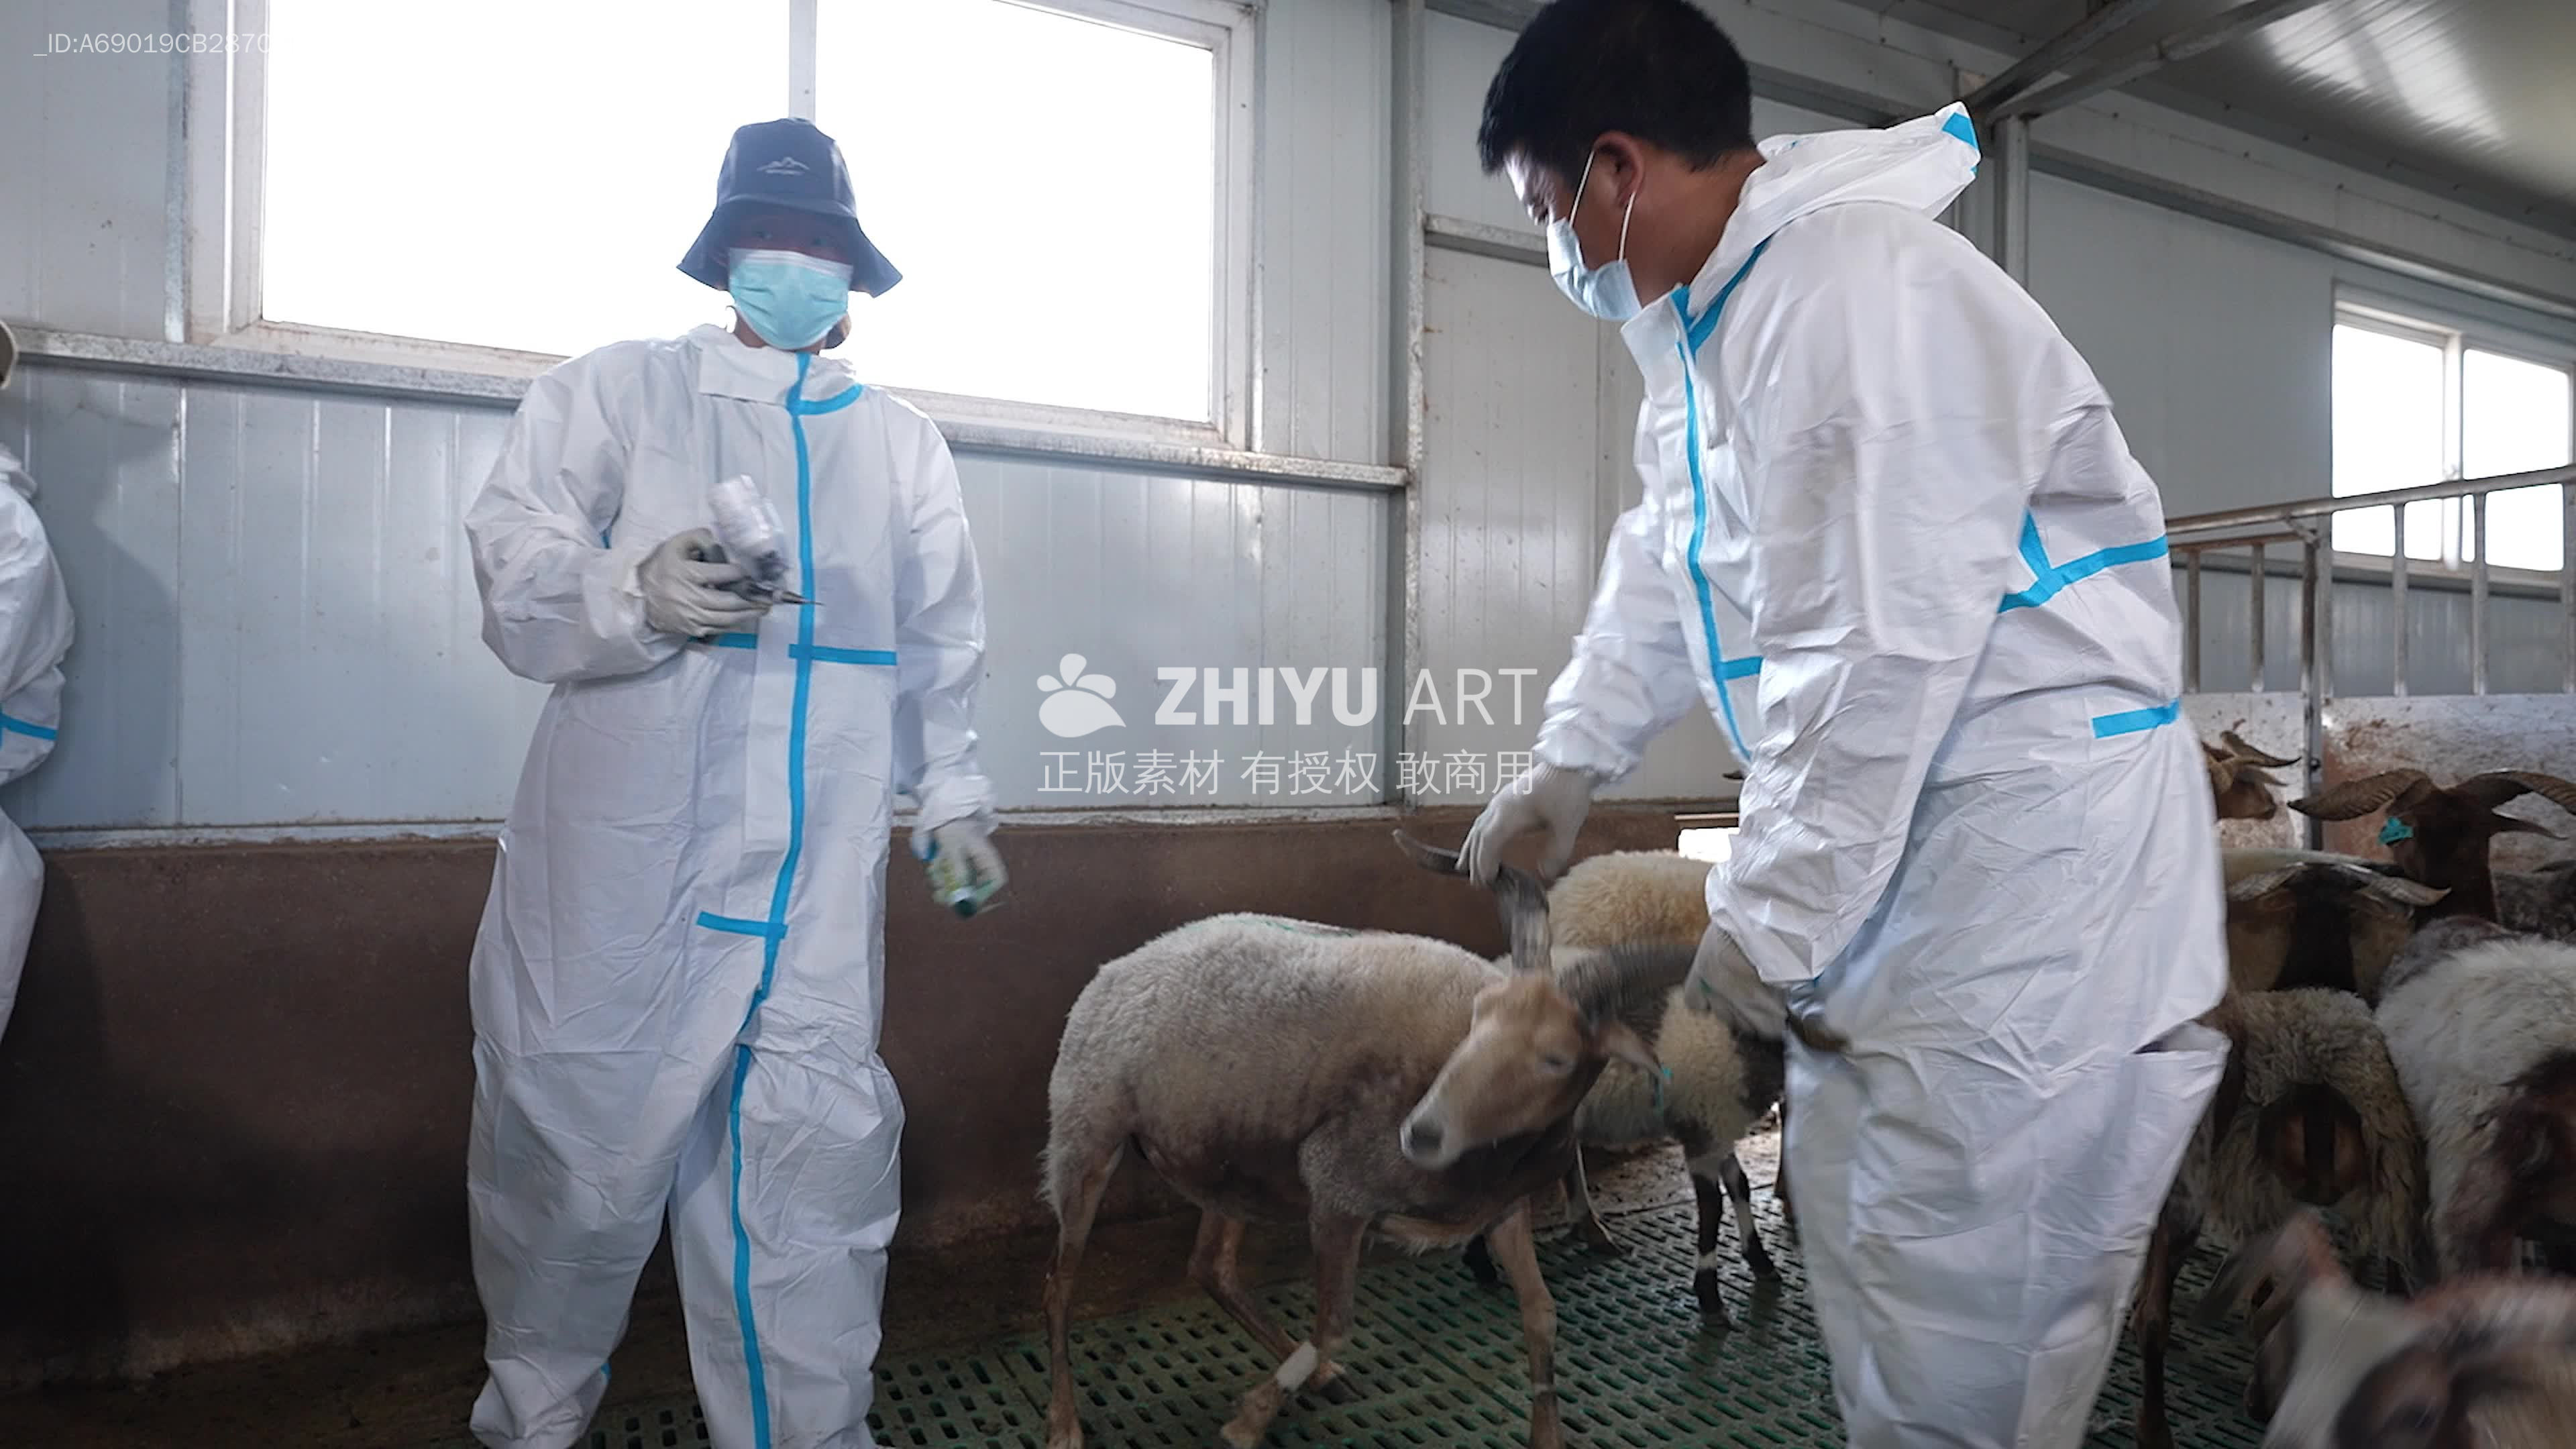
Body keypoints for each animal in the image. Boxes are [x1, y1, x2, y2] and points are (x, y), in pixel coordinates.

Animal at [1037, 834, 1663, 1449]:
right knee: (1059, 1286)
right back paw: (1065, 1422)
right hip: (1085, 1133)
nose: (1419, 1132)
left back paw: (1314, 1374)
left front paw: (1547, 1433)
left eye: (1557, 1058)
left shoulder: (1502, 1210)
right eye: (1478, 1019)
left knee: (1210, 1266)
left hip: (1231, 1166)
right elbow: (1335, 1326)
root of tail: (1117, 966)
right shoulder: (1338, 1190)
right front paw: (1251, 1419)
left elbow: (1541, 1312)